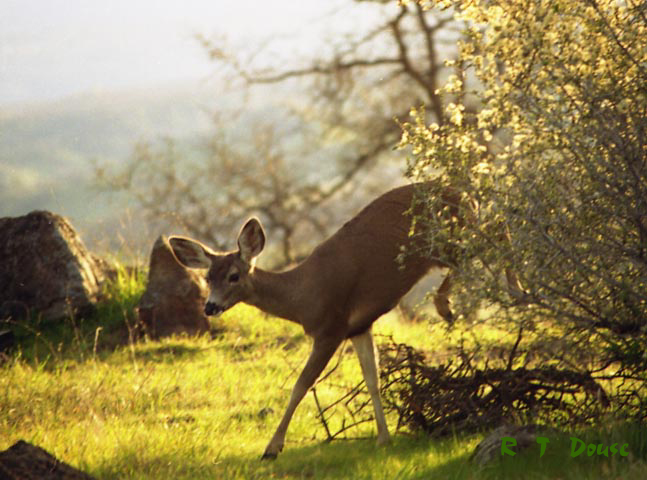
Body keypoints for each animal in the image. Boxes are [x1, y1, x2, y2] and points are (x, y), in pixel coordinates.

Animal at [170, 182, 512, 460]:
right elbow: (372, 378)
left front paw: (272, 448)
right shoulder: (359, 327)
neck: (301, 297)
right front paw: (384, 438)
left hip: (449, 240)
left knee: (493, 234)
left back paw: (456, 302)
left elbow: (301, 384)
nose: (210, 307)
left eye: (234, 276)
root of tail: (462, 191)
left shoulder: (330, 329)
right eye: (207, 277)